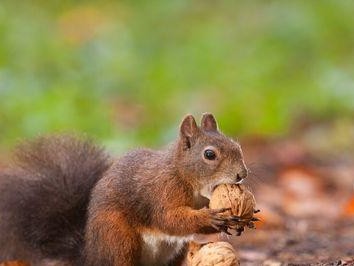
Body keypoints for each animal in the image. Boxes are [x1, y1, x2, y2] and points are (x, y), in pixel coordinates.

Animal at [0, 113, 249, 264]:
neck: (184, 176)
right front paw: (211, 218)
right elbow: (169, 219)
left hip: (175, 252)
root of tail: (91, 255)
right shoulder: (161, 191)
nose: (242, 174)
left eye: (237, 145)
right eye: (209, 154)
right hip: (119, 239)